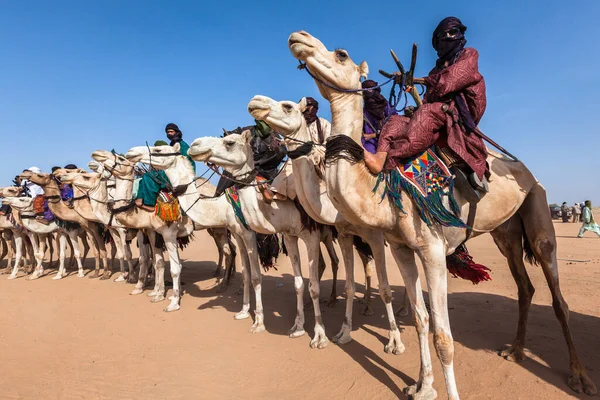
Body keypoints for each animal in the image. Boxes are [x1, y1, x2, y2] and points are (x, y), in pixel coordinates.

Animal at [190, 133, 330, 348]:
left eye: (229, 142)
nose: (194, 145)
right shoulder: (285, 235)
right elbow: (287, 281)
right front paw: (297, 327)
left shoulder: (308, 236)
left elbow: (261, 277)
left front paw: (319, 337)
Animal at [247, 95, 412, 348]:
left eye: (287, 106)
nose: (255, 102)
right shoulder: (339, 234)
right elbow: (338, 284)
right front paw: (333, 331)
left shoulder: (370, 235)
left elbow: (384, 288)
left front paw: (394, 340)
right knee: (364, 265)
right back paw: (364, 306)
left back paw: (403, 310)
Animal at [288, 30, 596, 396]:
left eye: (341, 54)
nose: (299, 37)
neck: (382, 191)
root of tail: (528, 173)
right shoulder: (401, 248)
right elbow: (421, 320)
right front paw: (421, 387)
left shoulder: (433, 250)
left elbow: (444, 337)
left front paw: (444, 391)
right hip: (505, 233)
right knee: (525, 287)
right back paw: (516, 350)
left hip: (538, 206)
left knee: (557, 295)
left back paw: (580, 376)